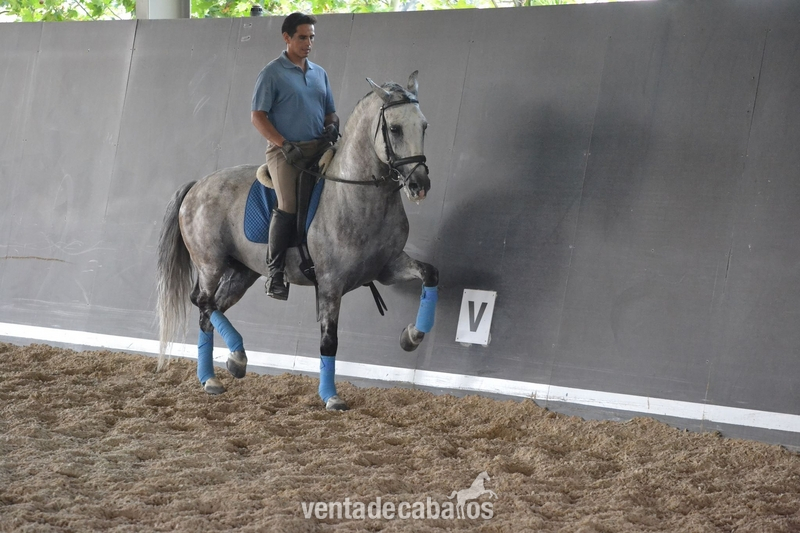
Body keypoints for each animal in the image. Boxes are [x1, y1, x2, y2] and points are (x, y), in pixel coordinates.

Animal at [156, 72, 439, 411]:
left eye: (423, 126)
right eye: (395, 129)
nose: (420, 184)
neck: (356, 195)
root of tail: (198, 184)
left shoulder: (387, 267)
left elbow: (430, 273)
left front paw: (411, 337)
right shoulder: (330, 284)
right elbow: (329, 340)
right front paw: (331, 397)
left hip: (241, 272)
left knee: (212, 310)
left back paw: (231, 363)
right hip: (211, 265)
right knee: (203, 303)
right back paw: (214, 374)